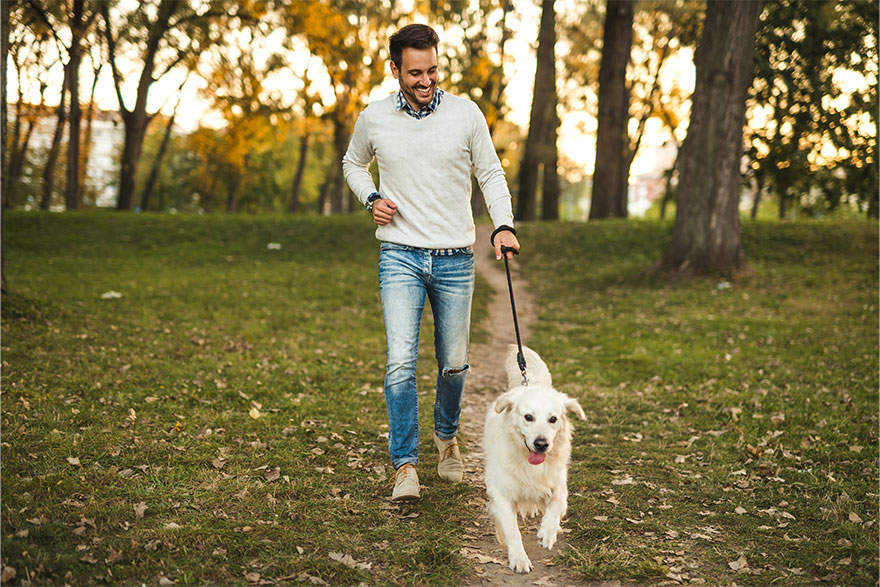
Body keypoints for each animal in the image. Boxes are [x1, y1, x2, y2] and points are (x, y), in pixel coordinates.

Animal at [482, 344, 584, 576]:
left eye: (553, 419)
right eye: (528, 417)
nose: (541, 443)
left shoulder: (558, 484)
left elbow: (556, 503)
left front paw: (548, 531)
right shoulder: (501, 493)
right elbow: (512, 530)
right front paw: (519, 558)